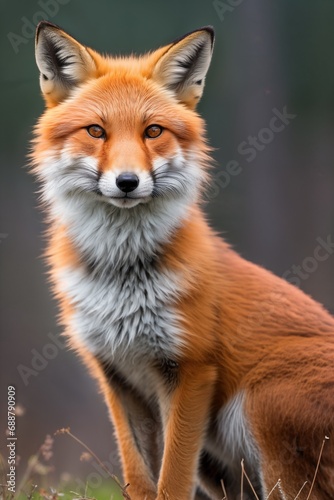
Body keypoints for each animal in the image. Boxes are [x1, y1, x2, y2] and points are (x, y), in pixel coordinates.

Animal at [32, 20, 334, 500]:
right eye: (96, 131)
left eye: (153, 131)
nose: (127, 182)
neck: (122, 278)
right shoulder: (117, 375)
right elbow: (140, 479)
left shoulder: (190, 370)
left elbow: (171, 480)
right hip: (223, 467)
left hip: (264, 405)